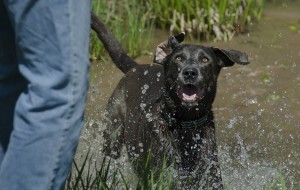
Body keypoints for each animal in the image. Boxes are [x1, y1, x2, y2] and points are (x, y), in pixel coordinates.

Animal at [91, 12, 248, 189]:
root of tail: (136, 67)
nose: (190, 72)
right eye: (178, 58)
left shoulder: (211, 175)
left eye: (205, 60)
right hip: (113, 133)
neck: (186, 124)